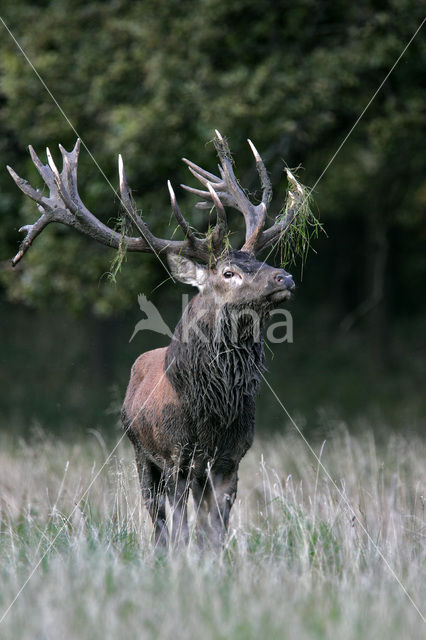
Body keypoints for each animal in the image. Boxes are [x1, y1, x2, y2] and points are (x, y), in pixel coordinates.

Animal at [7, 131, 300, 552]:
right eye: (228, 272)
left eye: (258, 261)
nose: (285, 277)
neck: (213, 414)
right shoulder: (175, 456)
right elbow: (178, 528)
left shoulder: (230, 459)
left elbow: (214, 533)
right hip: (140, 453)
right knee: (156, 517)